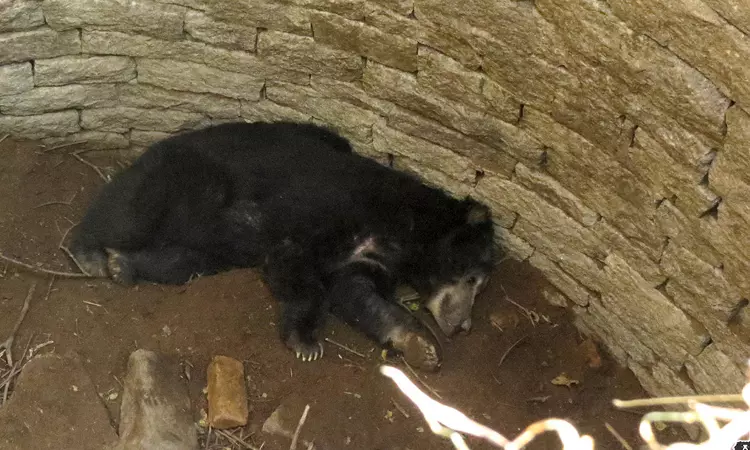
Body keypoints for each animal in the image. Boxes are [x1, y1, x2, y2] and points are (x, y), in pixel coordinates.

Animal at [69, 121, 497, 371]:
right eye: (472, 278)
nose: (463, 324)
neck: (404, 231)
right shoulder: (333, 210)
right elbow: (299, 266)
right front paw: (306, 341)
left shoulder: (372, 258)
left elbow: (358, 293)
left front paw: (421, 347)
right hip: (185, 180)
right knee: (128, 213)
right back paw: (89, 252)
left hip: (209, 242)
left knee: (184, 261)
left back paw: (124, 265)